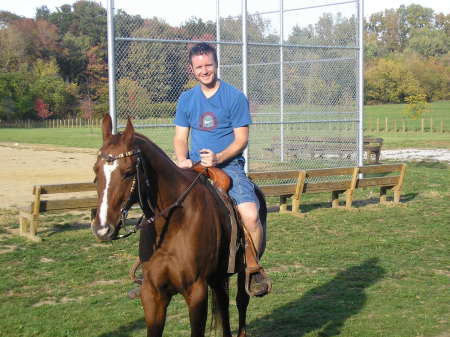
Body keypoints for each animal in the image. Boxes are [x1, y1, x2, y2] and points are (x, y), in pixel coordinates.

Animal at [91, 113, 268, 336]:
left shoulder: (196, 291)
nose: (102, 229)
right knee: (223, 304)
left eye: (128, 172)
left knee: (241, 301)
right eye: (95, 170)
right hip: (218, 277)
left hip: (243, 271)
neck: (173, 224)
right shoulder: (153, 294)